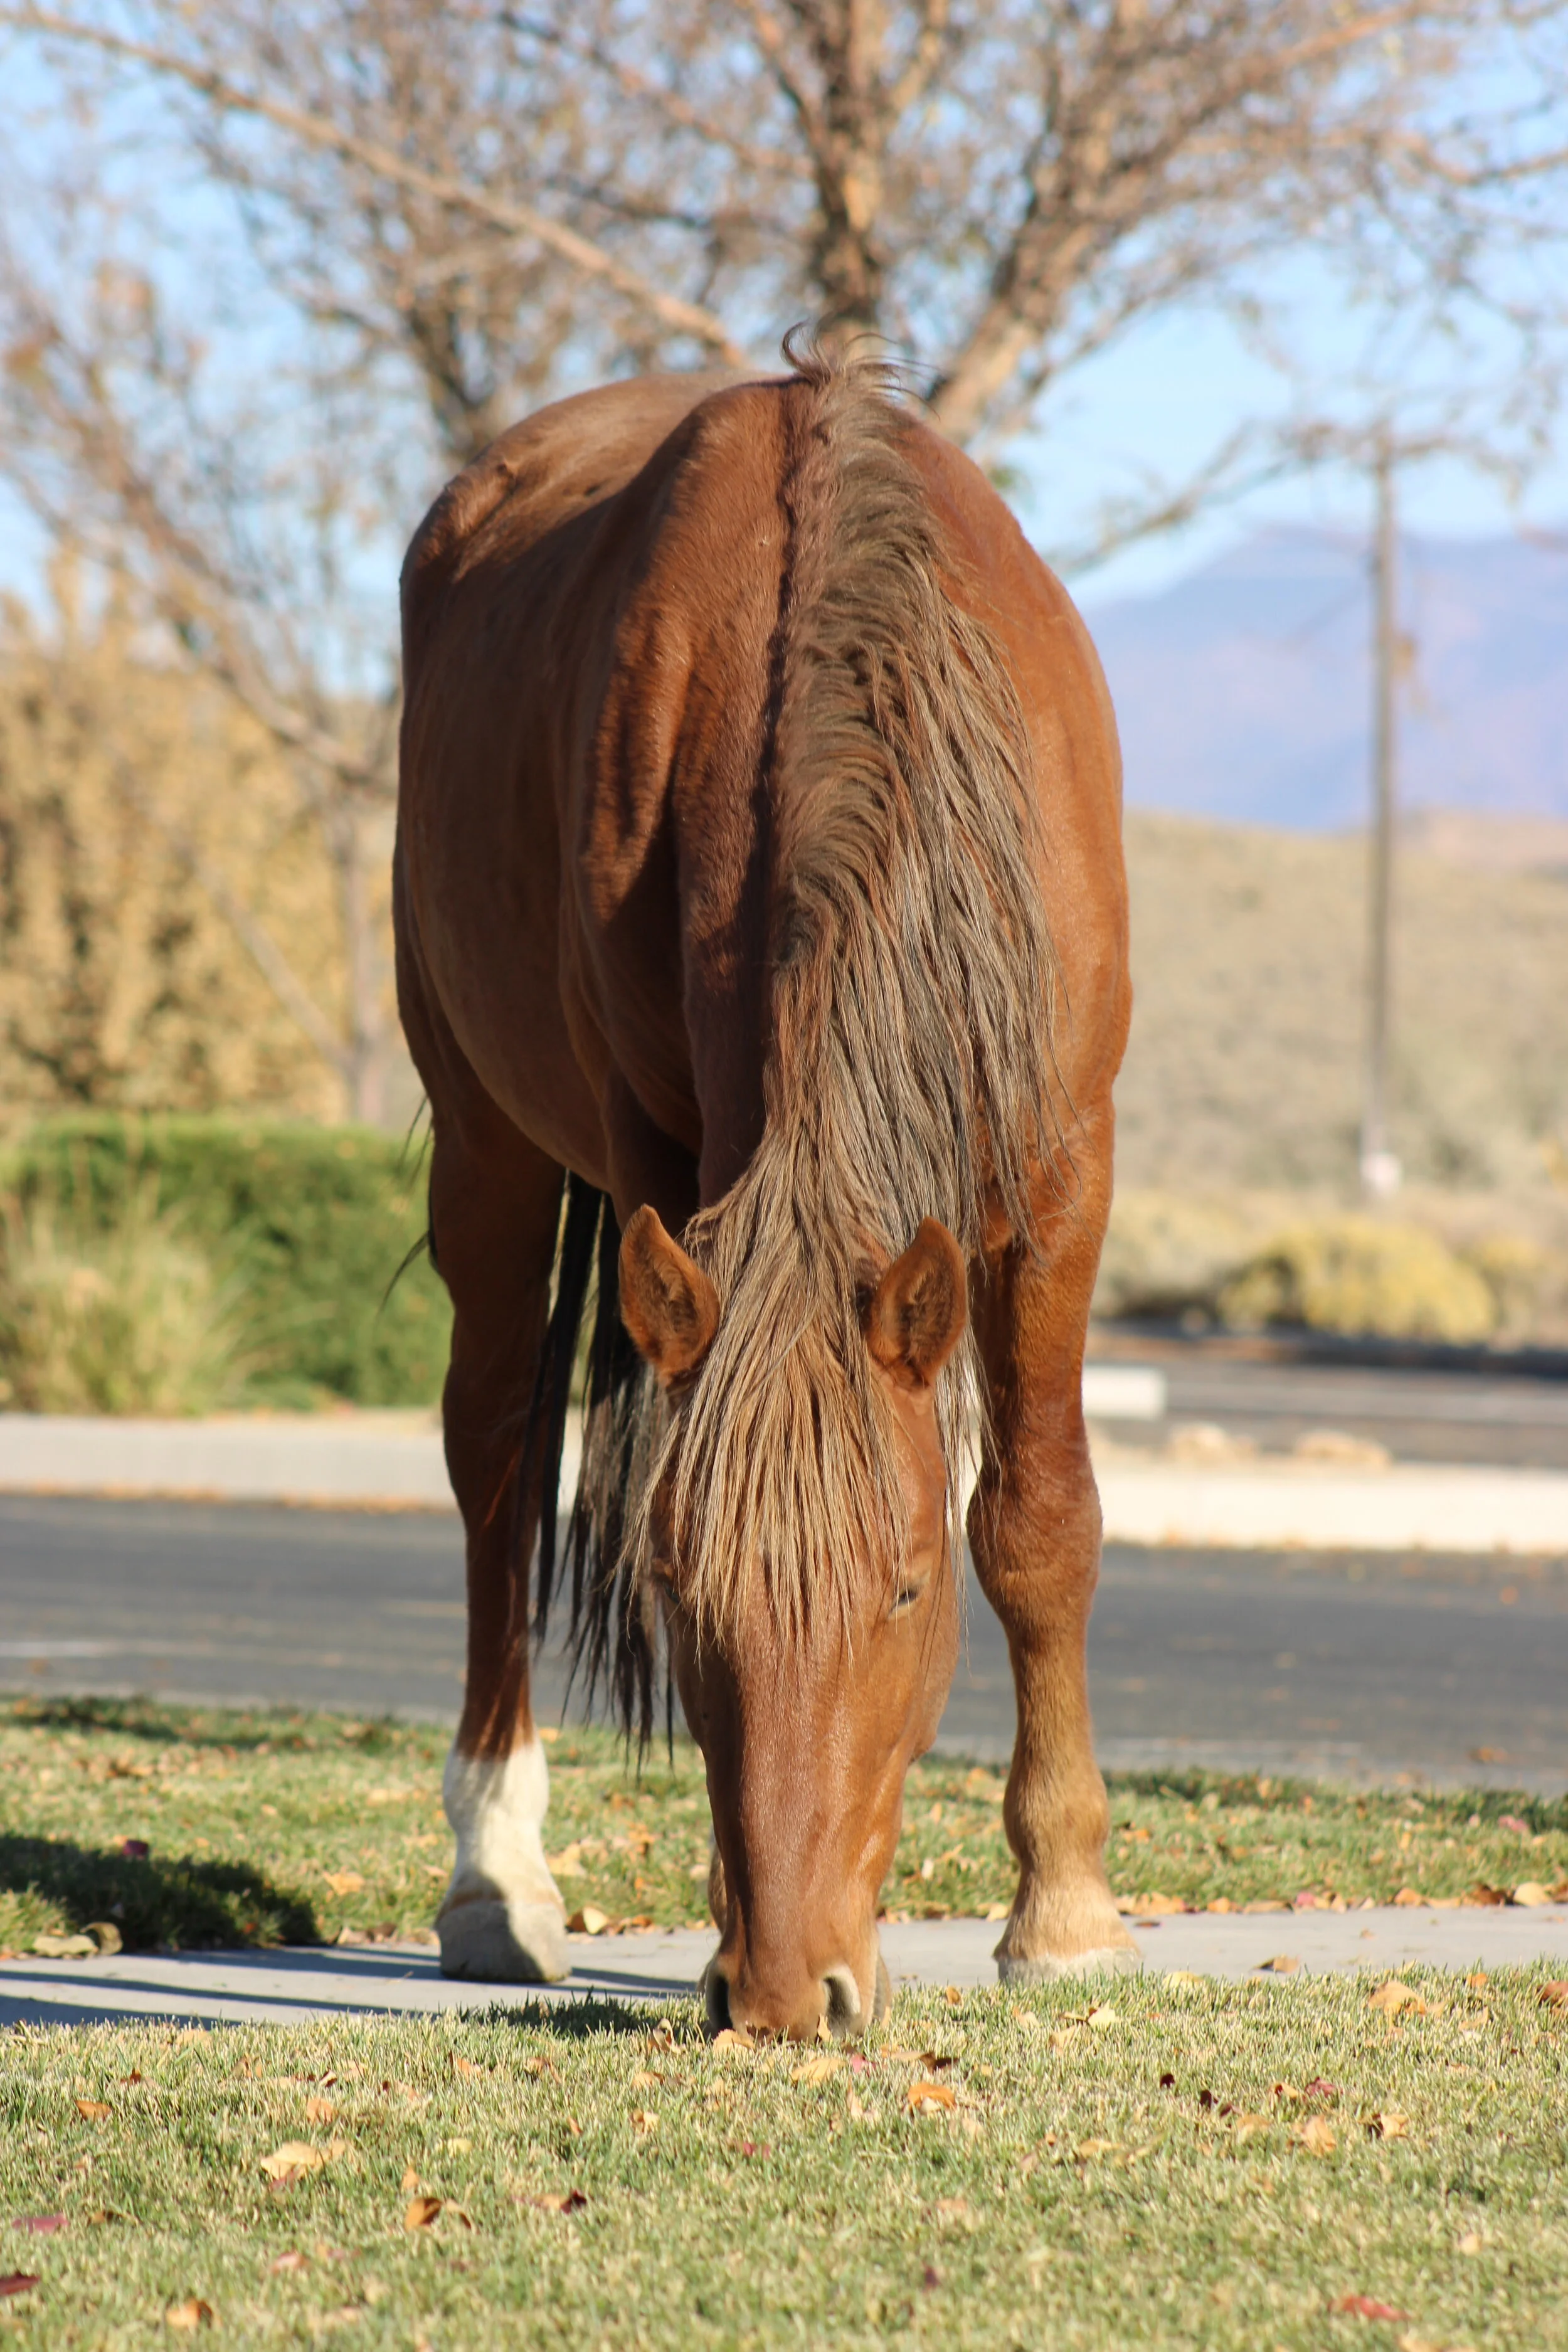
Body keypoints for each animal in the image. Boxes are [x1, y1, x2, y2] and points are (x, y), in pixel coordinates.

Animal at [393, 344, 1136, 2039]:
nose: (793, 1991)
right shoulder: (659, 1162)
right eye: (685, 1592)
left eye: (907, 1589)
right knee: (496, 1469)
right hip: (484, 1143)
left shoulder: (1062, 1162)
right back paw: (493, 1878)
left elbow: (1040, 1518)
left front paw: (1063, 1908)